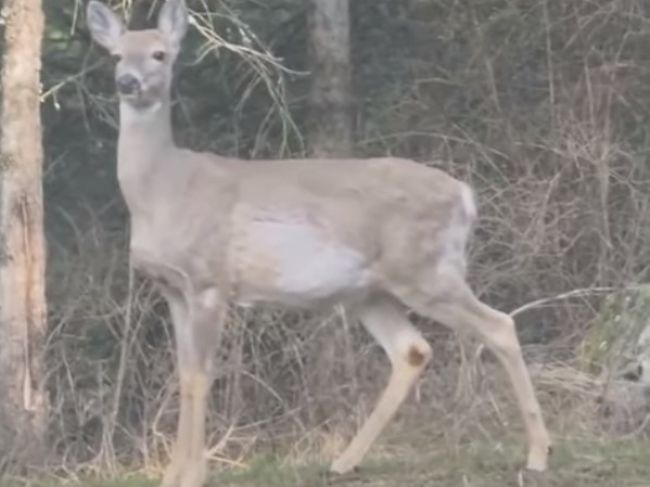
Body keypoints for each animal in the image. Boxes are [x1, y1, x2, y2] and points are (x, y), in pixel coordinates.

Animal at [86, 0, 548, 487]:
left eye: (159, 54)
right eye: (116, 55)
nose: (127, 82)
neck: (163, 191)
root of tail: (465, 194)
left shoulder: (210, 280)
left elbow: (201, 375)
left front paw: (192, 475)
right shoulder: (172, 289)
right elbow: (184, 373)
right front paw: (173, 473)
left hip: (425, 270)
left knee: (499, 325)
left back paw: (538, 453)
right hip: (372, 291)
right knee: (412, 350)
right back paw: (345, 460)